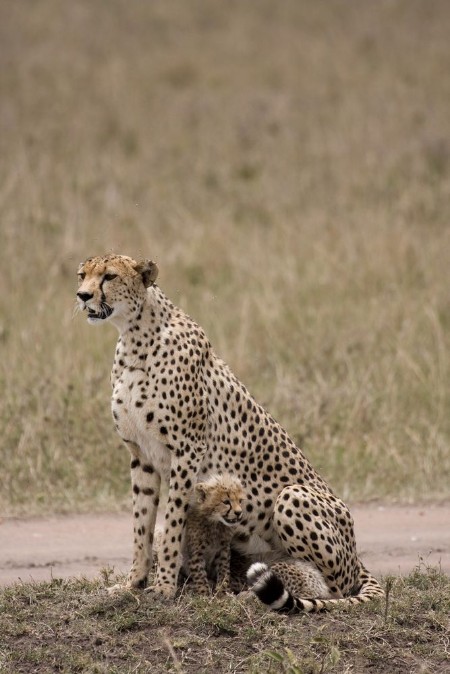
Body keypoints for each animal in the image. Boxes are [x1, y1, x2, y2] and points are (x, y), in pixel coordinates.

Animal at [76, 253, 384, 608]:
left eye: (109, 276)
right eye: (82, 274)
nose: (82, 296)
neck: (134, 336)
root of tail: (357, 556)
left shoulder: (187, 449)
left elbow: (173, 522)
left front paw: (164, 585)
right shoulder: (141, 455)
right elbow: (142, 526)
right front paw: (134, 584)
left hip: (293, 496)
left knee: (332, 588)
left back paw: (255, 596)